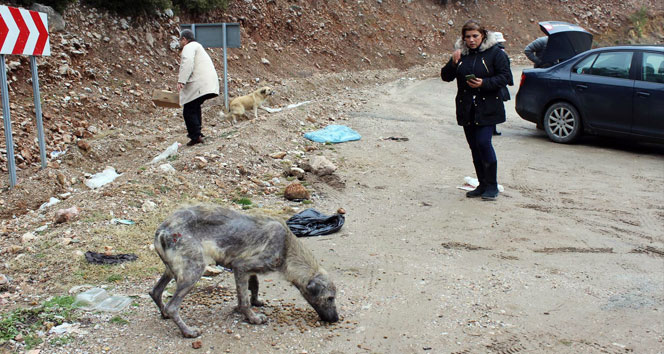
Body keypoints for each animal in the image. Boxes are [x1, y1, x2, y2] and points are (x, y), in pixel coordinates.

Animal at [150, 205, 338, 338]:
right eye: (330, 298)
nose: (336, 319)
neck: (286, 246)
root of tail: (162, 230)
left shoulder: (249, 271)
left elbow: (254, 286)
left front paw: (256, 301)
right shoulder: (241, 267)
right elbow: (244, 300)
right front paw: (253, 318)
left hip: (172, 270)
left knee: (155, 292)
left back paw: (164, 313)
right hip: (193, 271)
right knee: (172, 306)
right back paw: (187, 331)